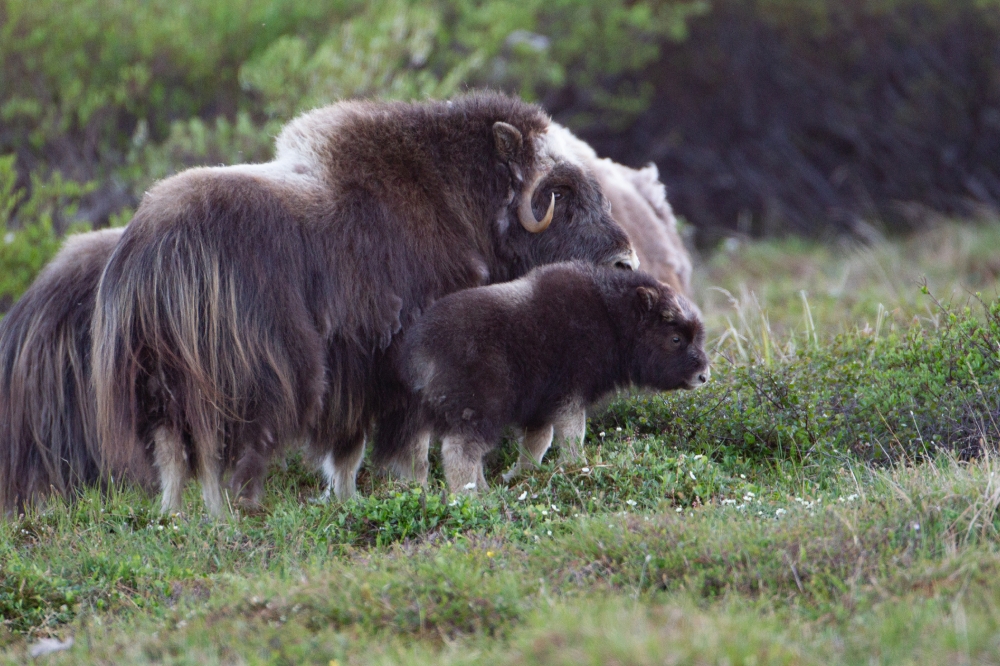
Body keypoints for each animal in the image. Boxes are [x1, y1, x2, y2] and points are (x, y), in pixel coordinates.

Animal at [95, 92, 640, 512]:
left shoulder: (355, 379)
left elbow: (348, 449)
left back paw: (176, 518)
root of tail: (147, 252)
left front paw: (348, 500)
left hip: (158, 383)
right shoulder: (401, 367)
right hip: (240, 377)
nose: (625, 264)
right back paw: (234, 512)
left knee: (171, 453)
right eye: (560, 194)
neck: (460, 203)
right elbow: (413, 444)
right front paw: (415, 492)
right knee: (219, 452)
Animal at [398, 262, 712, 490]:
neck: (613, 319)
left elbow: (538, 441)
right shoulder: (569, 393)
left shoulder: (539, 406)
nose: (704, 376)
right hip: (476, 409)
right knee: (460, 452)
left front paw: (519, 475)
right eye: (675, 338)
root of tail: (421, 345)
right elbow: (572, 434)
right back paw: (470, 497)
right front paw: (578, 467)